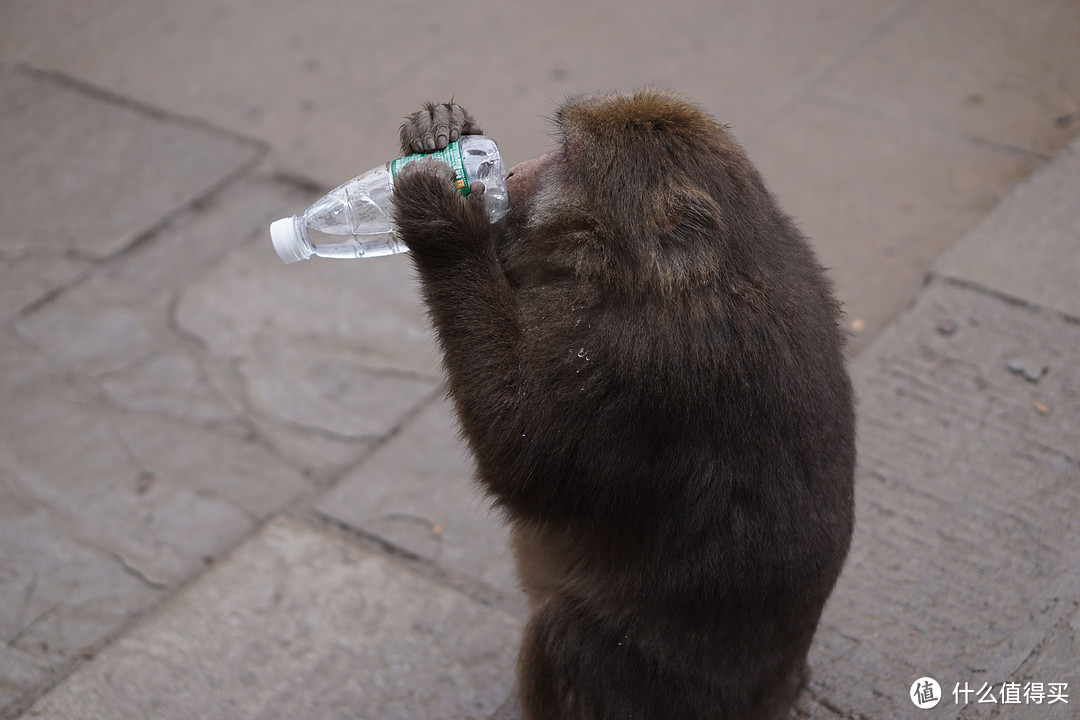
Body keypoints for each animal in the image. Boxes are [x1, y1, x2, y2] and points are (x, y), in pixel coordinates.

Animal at [393, 91, 855, 720]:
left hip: (650, 694)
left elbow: (523, 461)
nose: (510, 174)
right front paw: (442, 130)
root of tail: (777, 694)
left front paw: (445, 224)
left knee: (564, 639)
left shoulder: (639, 358)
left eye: (565, 156)